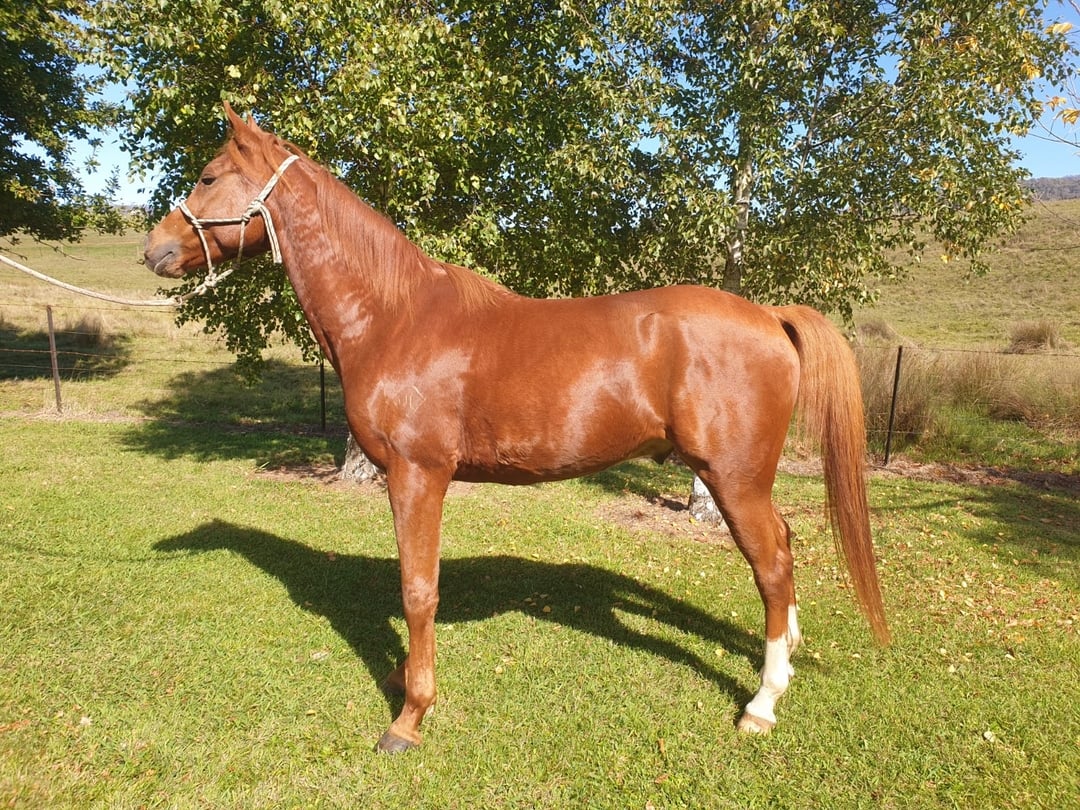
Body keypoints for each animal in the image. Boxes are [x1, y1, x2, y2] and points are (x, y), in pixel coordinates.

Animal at [144, 103, 889, 753]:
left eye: (207, 176)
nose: (154, 249)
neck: (394, 317)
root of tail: (770, 316)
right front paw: (401, 679)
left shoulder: (419, 475)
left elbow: (418, 591)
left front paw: (410, 716)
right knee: (783, 551)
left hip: (733, 480)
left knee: (772, 564)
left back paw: (762, 702)